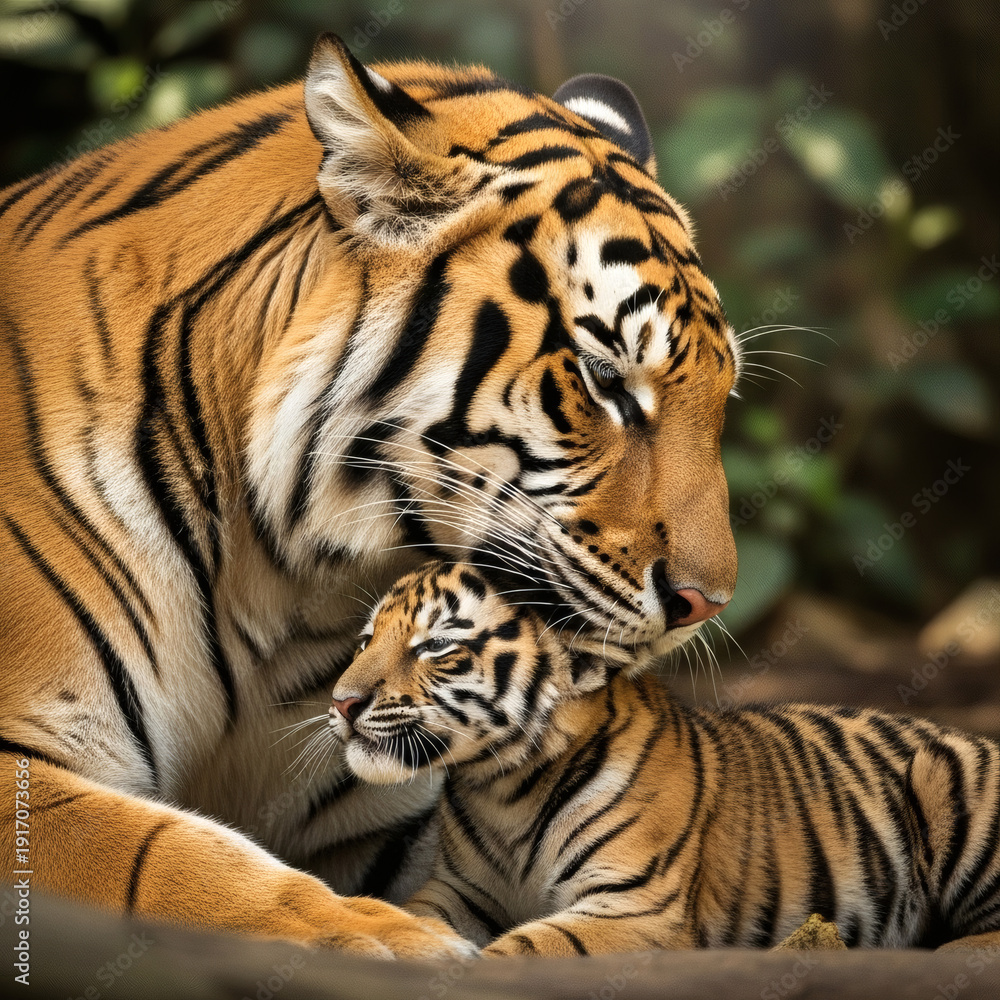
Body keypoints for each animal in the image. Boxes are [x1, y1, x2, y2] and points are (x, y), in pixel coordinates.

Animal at [0, 33, 740, 955]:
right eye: (605, 379)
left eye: (723, 395)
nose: (706, 604)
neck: (281, 582)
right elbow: (166, 857)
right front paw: (389, 942)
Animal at [329, 559, 1000, 956]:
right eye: (365, 641)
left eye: (436, 646)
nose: (341, 702)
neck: (504, 787)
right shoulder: (456, 892)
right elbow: (407, 913)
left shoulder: (635, 905)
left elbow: (523, 948)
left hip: (945, 776)